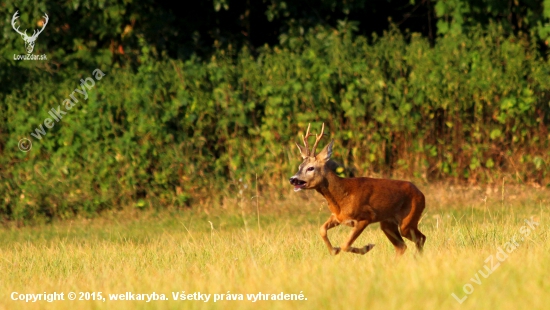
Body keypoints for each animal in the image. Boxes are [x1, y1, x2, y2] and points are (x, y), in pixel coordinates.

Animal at [292, 123, 430, 256]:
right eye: (299, 166)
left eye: (310, 168)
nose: (292, 179)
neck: (341, 197)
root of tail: (421, 194)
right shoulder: (338, 217)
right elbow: (321, 230)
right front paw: (334, 250)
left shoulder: (366, 216)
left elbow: (345, 245)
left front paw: (367, 247)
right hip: (387, 223)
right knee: (402, 246)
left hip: (408, 220)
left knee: (421, 238)